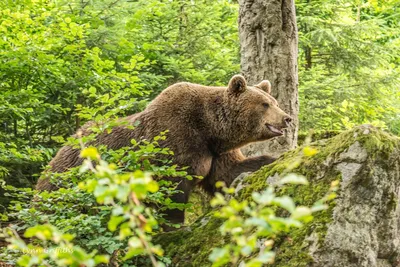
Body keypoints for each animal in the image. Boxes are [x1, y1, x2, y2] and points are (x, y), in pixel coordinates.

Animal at [36, 75, 292, 226]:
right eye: (265, 104)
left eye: (274, 101)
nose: (287, 118)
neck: (210, 129)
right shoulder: (175, 141)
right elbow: (172, 190)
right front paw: (174, 225)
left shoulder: (215, 153)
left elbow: (228, 174)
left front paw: (273, 159)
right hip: (69, 184)